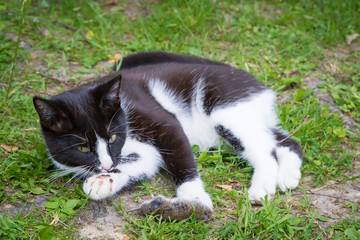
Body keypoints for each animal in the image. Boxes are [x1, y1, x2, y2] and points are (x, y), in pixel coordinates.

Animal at [33, 51, 300, 220]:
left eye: (111, 138)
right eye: (82, 149)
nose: (107, 166)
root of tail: (245, 76)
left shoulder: (161, 118)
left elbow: (179, 154)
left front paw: (193, 200)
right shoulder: (140, 154)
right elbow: (145, 162)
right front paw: (103, 182)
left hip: (225, 107)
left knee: (264, 149)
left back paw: (263, 186)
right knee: (283, 139)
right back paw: (288, 174)